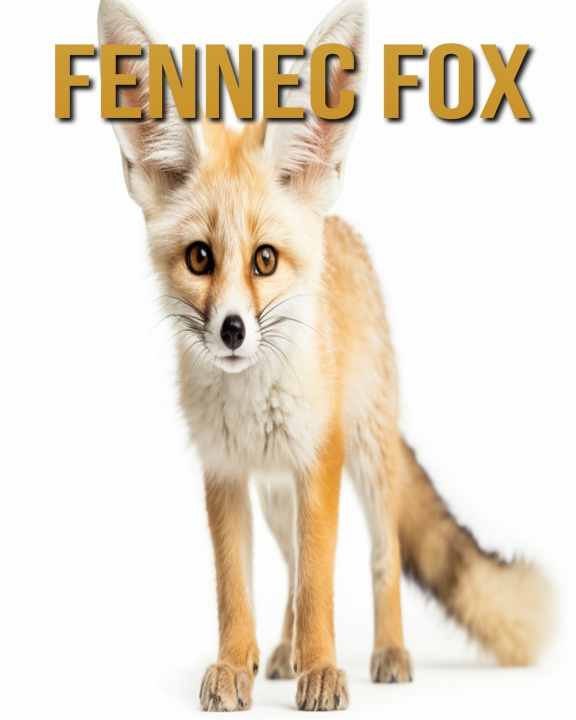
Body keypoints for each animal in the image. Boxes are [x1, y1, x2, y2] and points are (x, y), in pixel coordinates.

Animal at [97, 0, 553, 711]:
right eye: (200, 258)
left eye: (264, 260)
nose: (232, 331)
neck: (250, 405)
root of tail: (341, 229)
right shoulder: (224, 472)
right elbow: (237, 590)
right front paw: (236, 663)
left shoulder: (320, 461)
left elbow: (321, 584)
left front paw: (322, 669)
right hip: (276, 499)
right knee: (286, 571)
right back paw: (280, 653)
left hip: (366, 457)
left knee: (380, 557)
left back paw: (386, 652)